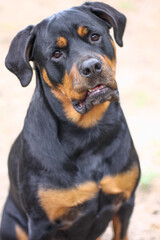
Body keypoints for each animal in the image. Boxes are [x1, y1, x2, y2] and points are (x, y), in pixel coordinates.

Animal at [0, 2, 140, 240]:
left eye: (94, 36)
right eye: (56, 53)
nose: (92, 67)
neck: (88, 133)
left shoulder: (124, 204)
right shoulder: (41, 224)